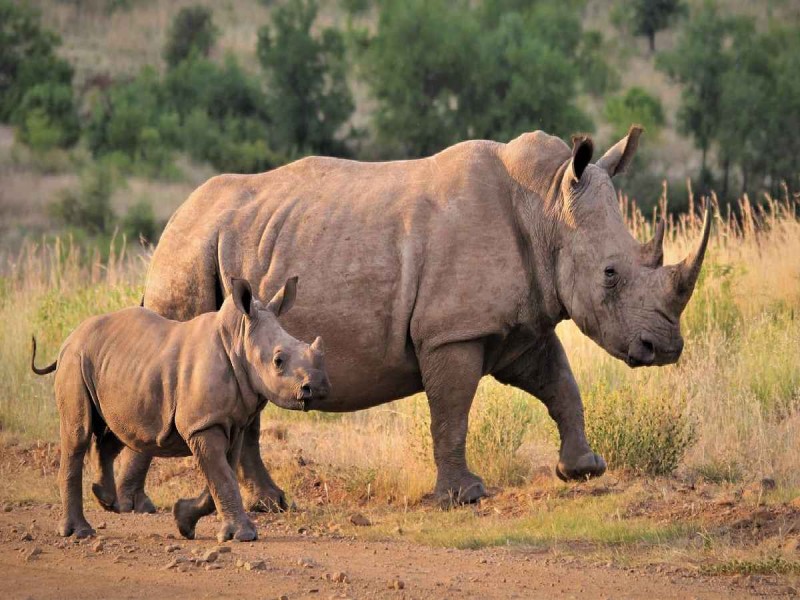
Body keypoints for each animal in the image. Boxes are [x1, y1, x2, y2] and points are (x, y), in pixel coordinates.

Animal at [29, 276, 326, 544]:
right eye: (278, 361)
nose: (319, 386)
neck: (238, 340)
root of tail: (70, 337)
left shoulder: (230, 423)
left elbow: (221, 475)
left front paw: (183, 520)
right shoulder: (203, 424)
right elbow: (223, 477)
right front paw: (244, 535)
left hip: (114, 366)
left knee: (116, 430)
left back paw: (106, 500)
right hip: (75, 359)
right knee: (78, 434)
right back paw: (79, 532)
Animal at [109, 126, 708, 510]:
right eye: (610, 274)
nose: (665, 348)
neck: (546, 208)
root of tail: (176, 215)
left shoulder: (520, 325)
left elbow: (561, 383)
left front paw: (583, 469)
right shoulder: (452, 331)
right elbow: (452, 410)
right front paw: (465, 497)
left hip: (231, 247)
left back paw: (271, 505)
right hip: (189, 252)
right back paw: (132, 505)